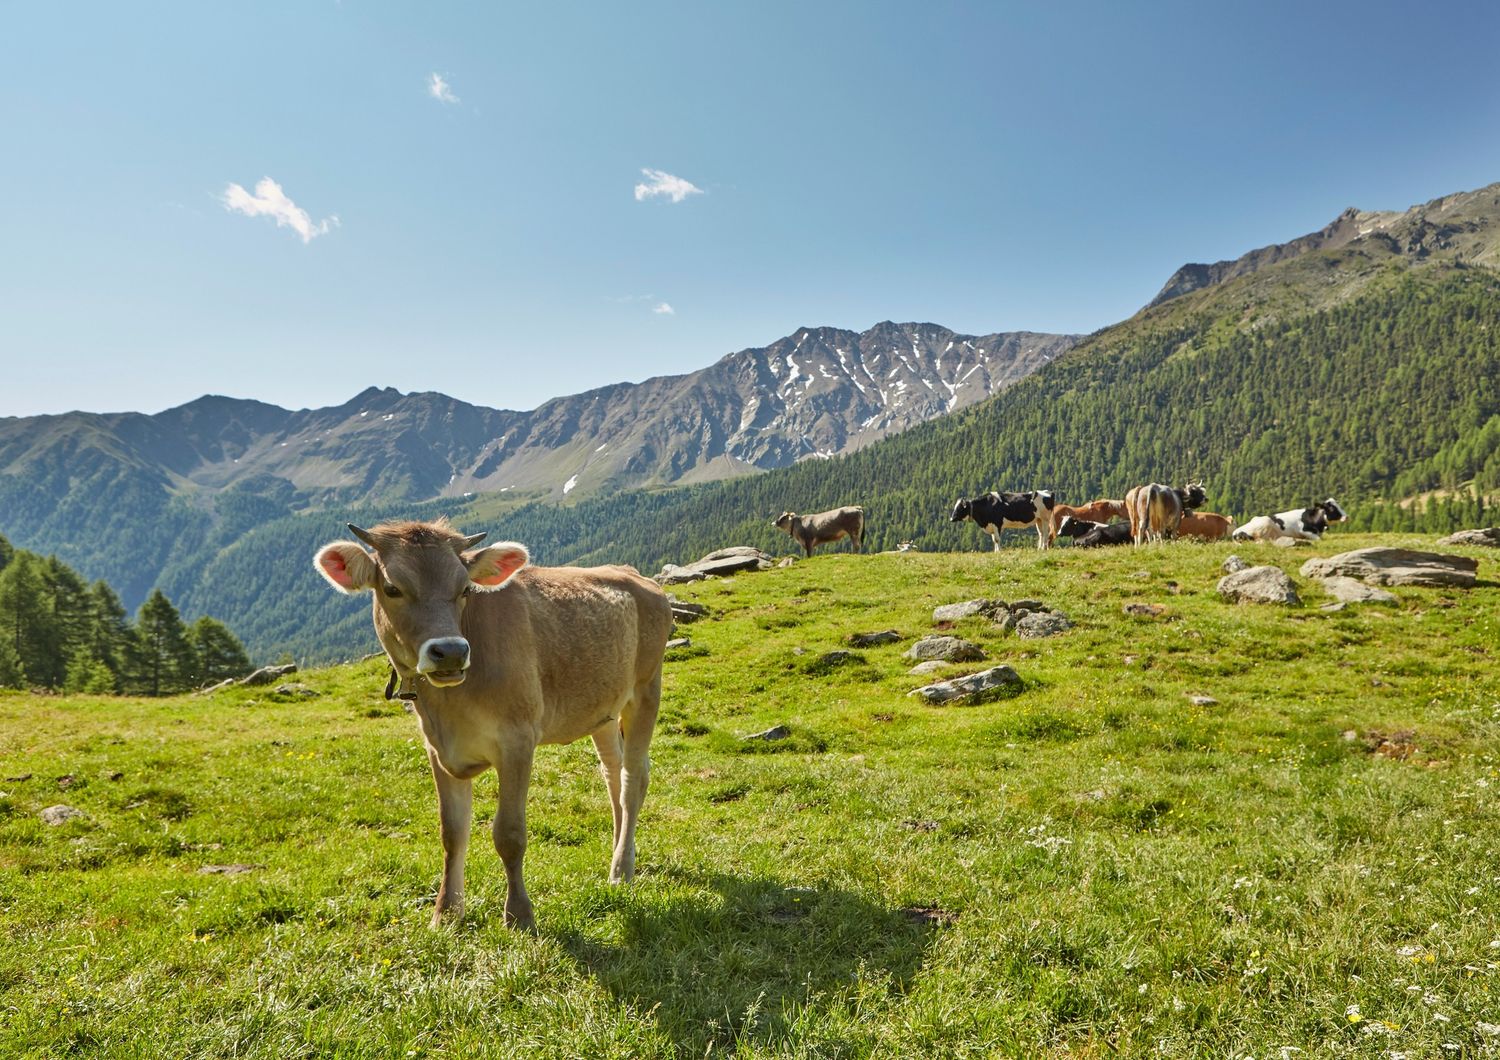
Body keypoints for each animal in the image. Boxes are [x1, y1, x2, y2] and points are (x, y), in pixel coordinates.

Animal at [313, 521, 672, 929]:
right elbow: (452, 832)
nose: (450, 652)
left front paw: (519, 914)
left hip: (646, 688)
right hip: (603, 708)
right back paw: (616, 853)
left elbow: (509, 834)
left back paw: (620, 871)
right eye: (391, 588)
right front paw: (445, 914)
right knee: (613, 773)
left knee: (633, 779)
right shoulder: (437, 748)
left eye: (465, 589)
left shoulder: (517, 739)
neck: (449, 706)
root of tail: (634, 574)